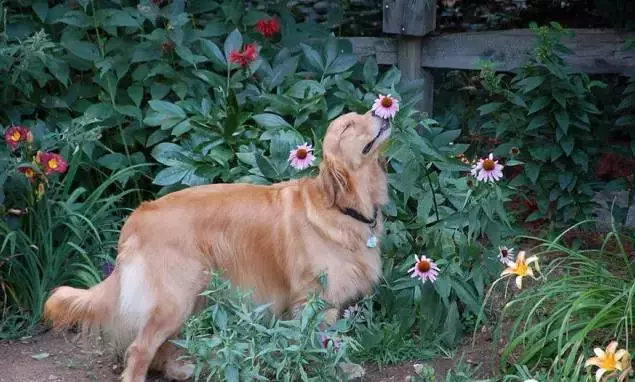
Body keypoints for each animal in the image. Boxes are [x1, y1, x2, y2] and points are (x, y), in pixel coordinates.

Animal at [42, 109, 390, 380]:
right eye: (348, 126)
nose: (380, 111)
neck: (342, 207)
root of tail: (139, 215)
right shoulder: (313, 298)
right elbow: (319, 344)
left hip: (190, 297)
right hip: (175, 298)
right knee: (140, 348)